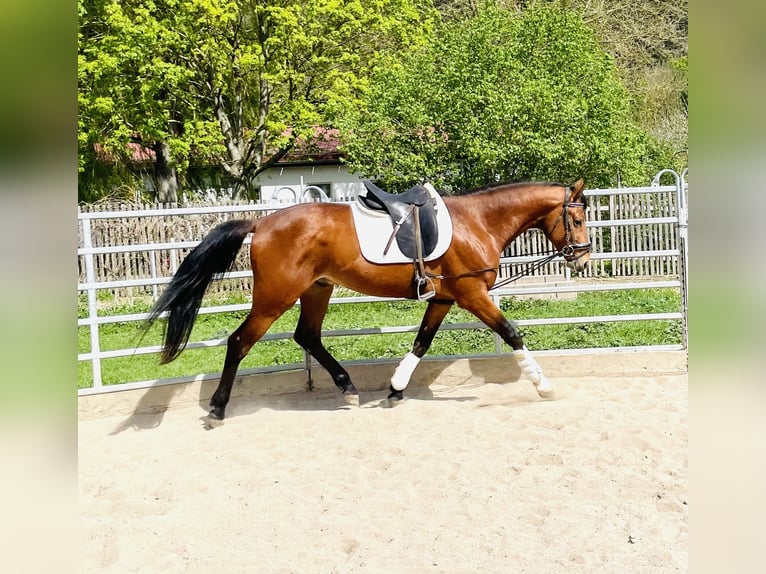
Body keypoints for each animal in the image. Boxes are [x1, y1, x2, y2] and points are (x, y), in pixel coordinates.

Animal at [146, 181, 592, 428]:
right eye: (578, 219)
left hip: (317, 289)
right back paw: (218, 410)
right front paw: (543, 385)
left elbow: (421, 343)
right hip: (275, 298)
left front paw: (395, 390)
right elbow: (512, 333)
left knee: (307, 336)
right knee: (240, 342)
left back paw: (347, 388)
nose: (584, 259)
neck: (477, 222)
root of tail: (262, 222)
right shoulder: (471, 295)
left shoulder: (444, 297)